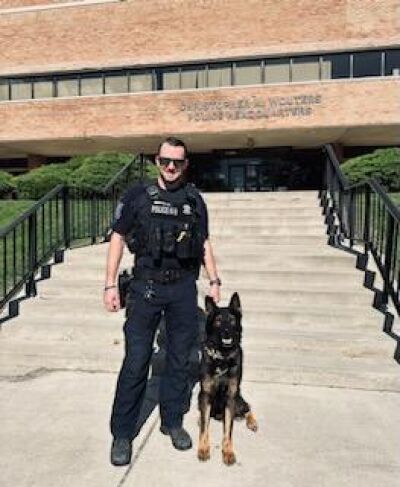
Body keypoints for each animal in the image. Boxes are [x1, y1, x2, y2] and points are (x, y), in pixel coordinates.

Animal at [198, 294, 258, 466]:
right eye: (218, 320)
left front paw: (228, 451)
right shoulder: (205, 394)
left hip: (237, 399)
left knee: (247, 406)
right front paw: (203, 448)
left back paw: (252, 421)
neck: (222, 357)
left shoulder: (231, 396)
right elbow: (204, 427)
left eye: (232, 320)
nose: (226, 332)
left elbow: (228, 431)